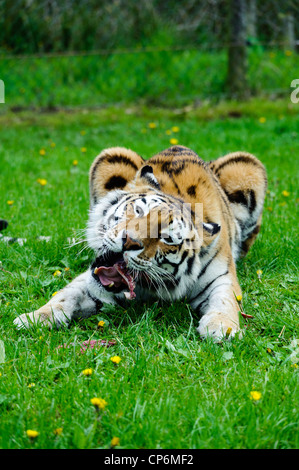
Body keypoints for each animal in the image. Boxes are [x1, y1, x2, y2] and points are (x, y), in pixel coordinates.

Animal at [12, 145, 268, 340]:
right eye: (138, 211)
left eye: (166, 238)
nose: (129, 242)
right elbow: (66, 293)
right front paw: (34, 317)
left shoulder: (221, 278)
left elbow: (226, 301)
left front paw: (222, 328)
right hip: (112, 157)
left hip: (247, 165)